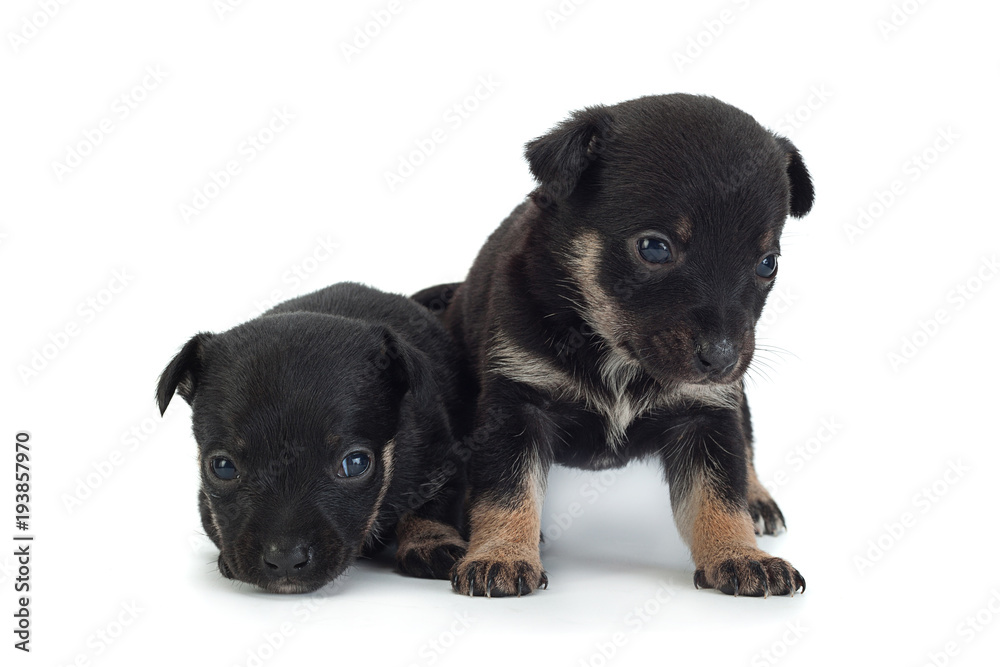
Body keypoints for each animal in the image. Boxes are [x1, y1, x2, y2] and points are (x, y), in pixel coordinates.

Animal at [156, 282, 468, 596]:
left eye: (355, 464)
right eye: (222, 467)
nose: (285, 559)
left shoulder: (442, 462)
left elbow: (429, 508)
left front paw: (429, 543)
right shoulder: (205, 501)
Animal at [414, 94, 812, 600]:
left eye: (767, 263)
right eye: (654, 248)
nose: (722, 357)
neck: (616, 353)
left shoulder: (708, 413)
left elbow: (719, 496)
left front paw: (740, 554)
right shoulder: (517, 404)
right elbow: (508, 489)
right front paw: (501, 553)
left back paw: (757, 497)